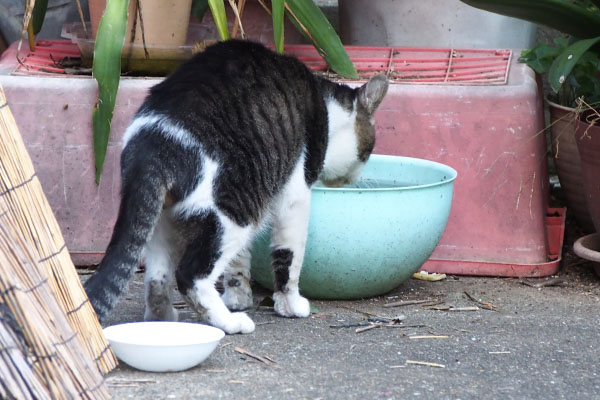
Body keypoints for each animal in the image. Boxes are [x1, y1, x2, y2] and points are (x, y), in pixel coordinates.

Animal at [85, 39, 390, 334]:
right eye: (367, 152)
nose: (355, 178)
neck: (327, 109)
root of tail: (154, 146)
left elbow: (238, 264)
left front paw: (238, 298)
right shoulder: (295, 193)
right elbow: (289, 257)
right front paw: (289, 304)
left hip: (162, 218)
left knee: (158, 277)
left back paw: (164, 319)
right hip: (236, 211)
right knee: (190, 275)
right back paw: (229, 323)